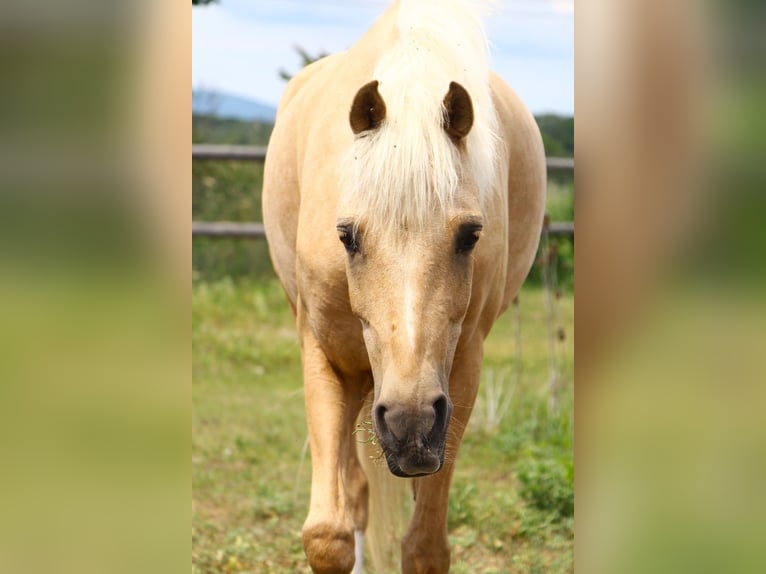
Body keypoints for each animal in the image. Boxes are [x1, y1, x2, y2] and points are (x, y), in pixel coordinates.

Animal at [262, 1, 545, 572]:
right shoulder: (325, 358)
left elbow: (425, 546)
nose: (409, 421)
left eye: (471, 235)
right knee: (355, 492)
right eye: (346, 236)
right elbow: (327, 535)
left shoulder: (459, 375)